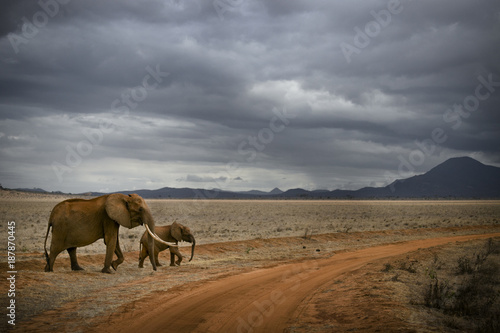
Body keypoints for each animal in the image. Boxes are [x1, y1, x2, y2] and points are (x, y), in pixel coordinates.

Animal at [43, 192, 176, 272]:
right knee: (55, 248)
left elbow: (115, 240)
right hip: (60, 228)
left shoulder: (114, 218)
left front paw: (114, 266)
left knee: (71, 249)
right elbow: (110, 240)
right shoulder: (108, 217)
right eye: (140, 209)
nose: (155, 270)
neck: (124, 197)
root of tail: (51, 216)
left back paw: (78, 269)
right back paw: (49, 270)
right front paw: (108, 271)